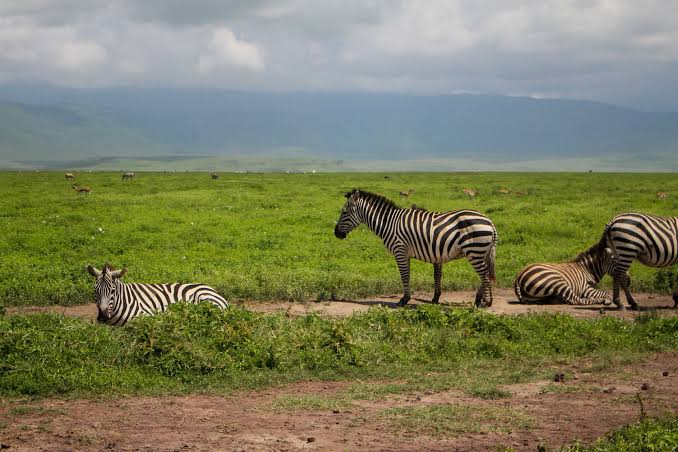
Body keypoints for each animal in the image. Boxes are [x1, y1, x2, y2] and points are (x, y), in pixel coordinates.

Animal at [334, 189, 497, 307]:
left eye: (344, 212)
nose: (336, 233)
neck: (389, 223)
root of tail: (490, 222)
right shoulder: (406, 253)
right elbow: (411, 275)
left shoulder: (400, 250)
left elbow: (404, 275)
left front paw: (404, 300)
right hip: (481, 252)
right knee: (486, 273)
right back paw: (479, 300)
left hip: (474, 251)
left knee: (485, 274)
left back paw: (487, 302)